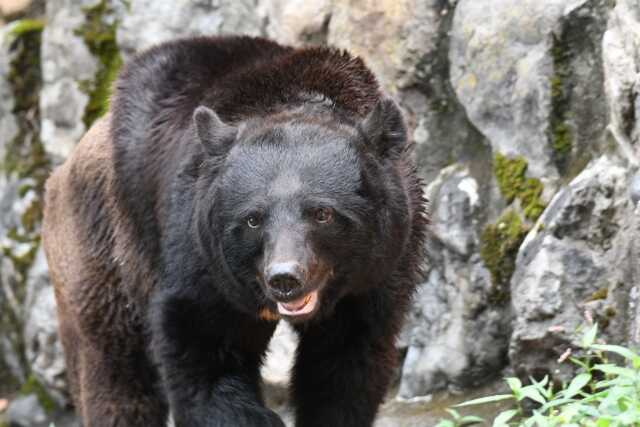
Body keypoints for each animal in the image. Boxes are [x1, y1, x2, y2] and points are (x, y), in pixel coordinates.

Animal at [42, 35, 428, 427]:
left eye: (322, 213)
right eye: (253, 218)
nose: (285, 278)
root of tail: (60, 171)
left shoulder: (376, 275)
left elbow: (345, 366)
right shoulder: (198, 255)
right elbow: (201, 354)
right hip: (102, 247)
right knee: (115, 370)